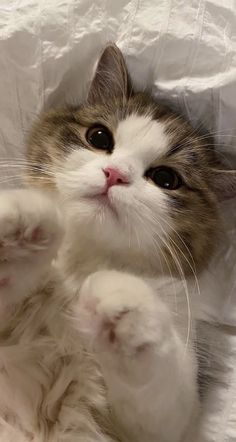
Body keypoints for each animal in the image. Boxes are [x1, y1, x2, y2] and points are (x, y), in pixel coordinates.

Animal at [0, 42, 236, 442]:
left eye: (166, 179)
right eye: (99, 138)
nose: (114, 174)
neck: (81, 264)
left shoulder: (160, 425)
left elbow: (162, 384)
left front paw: (123, 304)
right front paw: (23, 224)